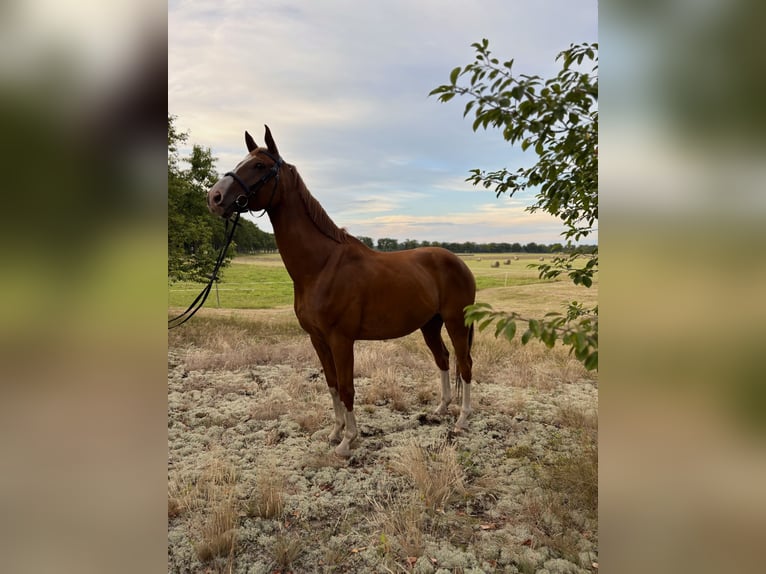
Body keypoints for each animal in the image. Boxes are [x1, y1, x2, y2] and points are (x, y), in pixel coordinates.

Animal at [207, 126, 475, 457]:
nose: (215, 197)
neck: (322, 266)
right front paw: (334, 433)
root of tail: (459, 262)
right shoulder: (318, 339)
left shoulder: (341, 339)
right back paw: (441, 409)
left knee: (465, 363)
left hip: (456, 321)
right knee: (444, 359)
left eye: (259, 165)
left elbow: (347, 387)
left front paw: (348, 441)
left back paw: (462, 419)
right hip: (430, 324)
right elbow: (332, 383)